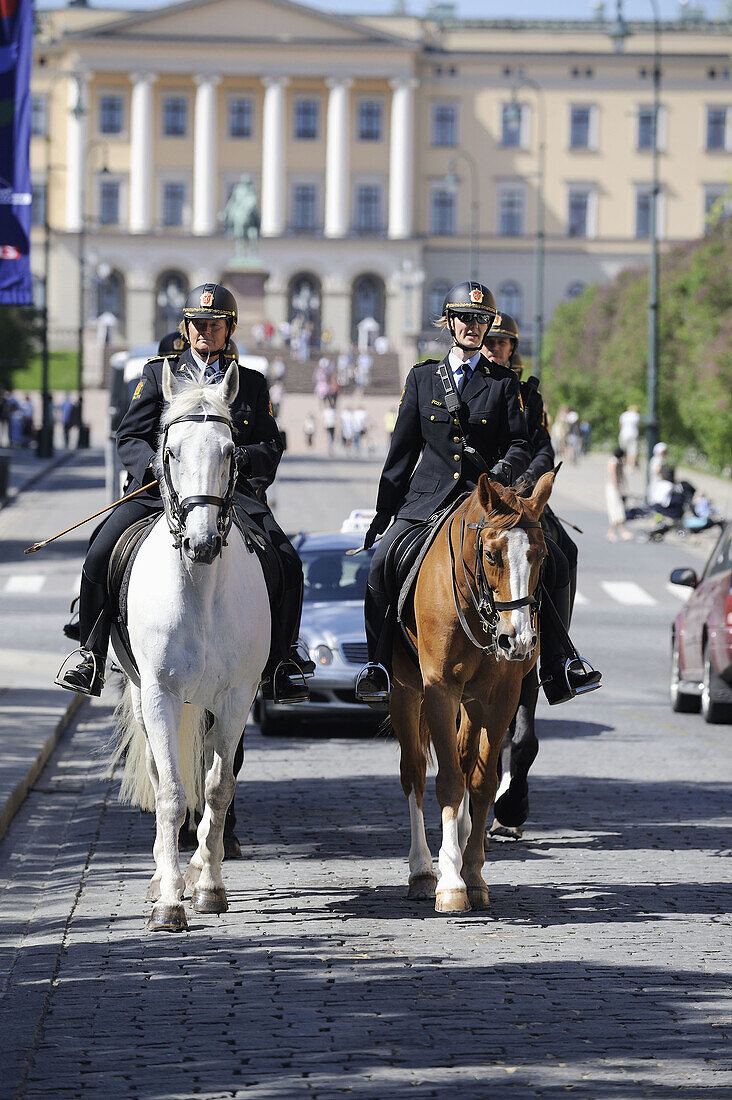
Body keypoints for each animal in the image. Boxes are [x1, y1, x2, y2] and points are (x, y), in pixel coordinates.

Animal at [112, 365, 272, 932]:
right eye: (172, 450)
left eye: (230, 450)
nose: (201, 544)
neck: (200, 588)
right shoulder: (159, 692)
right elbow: (171, 791)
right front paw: (168, 902)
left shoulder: (236, 697)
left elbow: (218, 787)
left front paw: (208, 886)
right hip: (145, 695)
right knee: (163, 774)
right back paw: (164, 875)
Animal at [391, 470, 550, 910]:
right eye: (492, 556)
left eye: (541, 556)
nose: (519, 640)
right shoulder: (440, 690)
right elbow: (447, 780)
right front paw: (450, 882)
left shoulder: (501, 698)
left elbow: (481, 782)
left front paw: (474, 873)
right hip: (405, 692)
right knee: (414, 772)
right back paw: (422, 870)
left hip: (473, 702)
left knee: (467, 762)